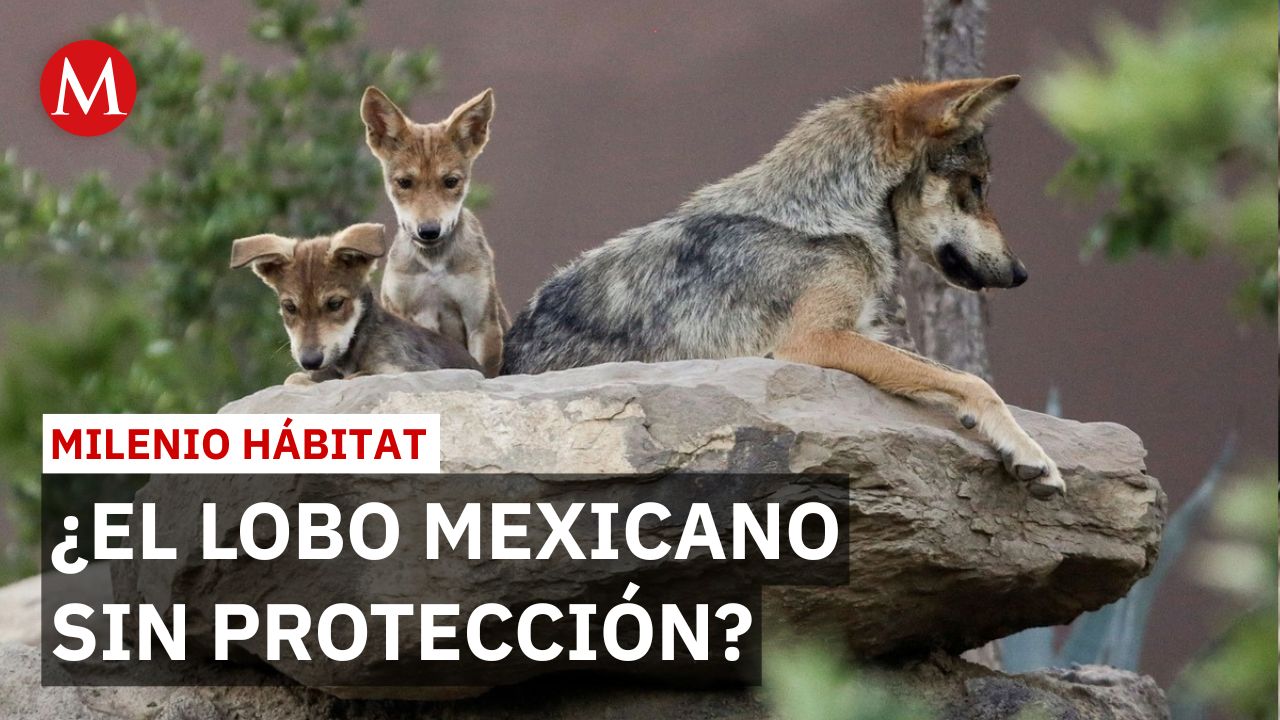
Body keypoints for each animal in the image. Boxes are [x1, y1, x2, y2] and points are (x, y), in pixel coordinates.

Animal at [230, 222, 479, 385]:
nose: (310, 361)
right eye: (290, 307)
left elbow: (355, 377)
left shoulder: (413, 369)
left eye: (335, 303)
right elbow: (294, 378)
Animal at [361, 86, 509, 377]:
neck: (433, 267)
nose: (429, 230)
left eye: (450, 182)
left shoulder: (481, 323)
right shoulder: (408, 315)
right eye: (404, 182)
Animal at [502, 75, 1065, 498]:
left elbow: (948, 375)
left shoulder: (869, 334)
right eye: (976, 186)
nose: (1022, 274)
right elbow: (976, 382)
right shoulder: (814, 341)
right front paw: (1033, 455)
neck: (823, 214)